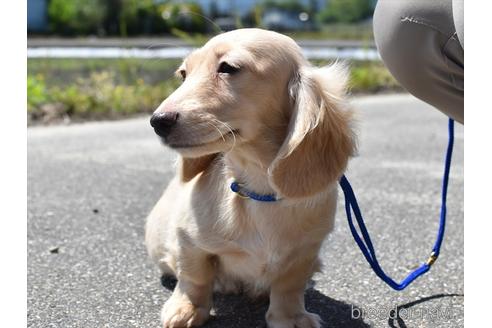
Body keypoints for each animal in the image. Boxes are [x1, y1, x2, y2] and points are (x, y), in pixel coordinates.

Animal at [144, 28, 356, 328]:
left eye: (229, 68)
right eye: (184, 73)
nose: (158, 121)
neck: (258, 188)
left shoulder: (306, 251)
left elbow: (290, 286)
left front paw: (290, 317)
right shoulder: (188, 239)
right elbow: (194, 275)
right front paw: (187, 308)